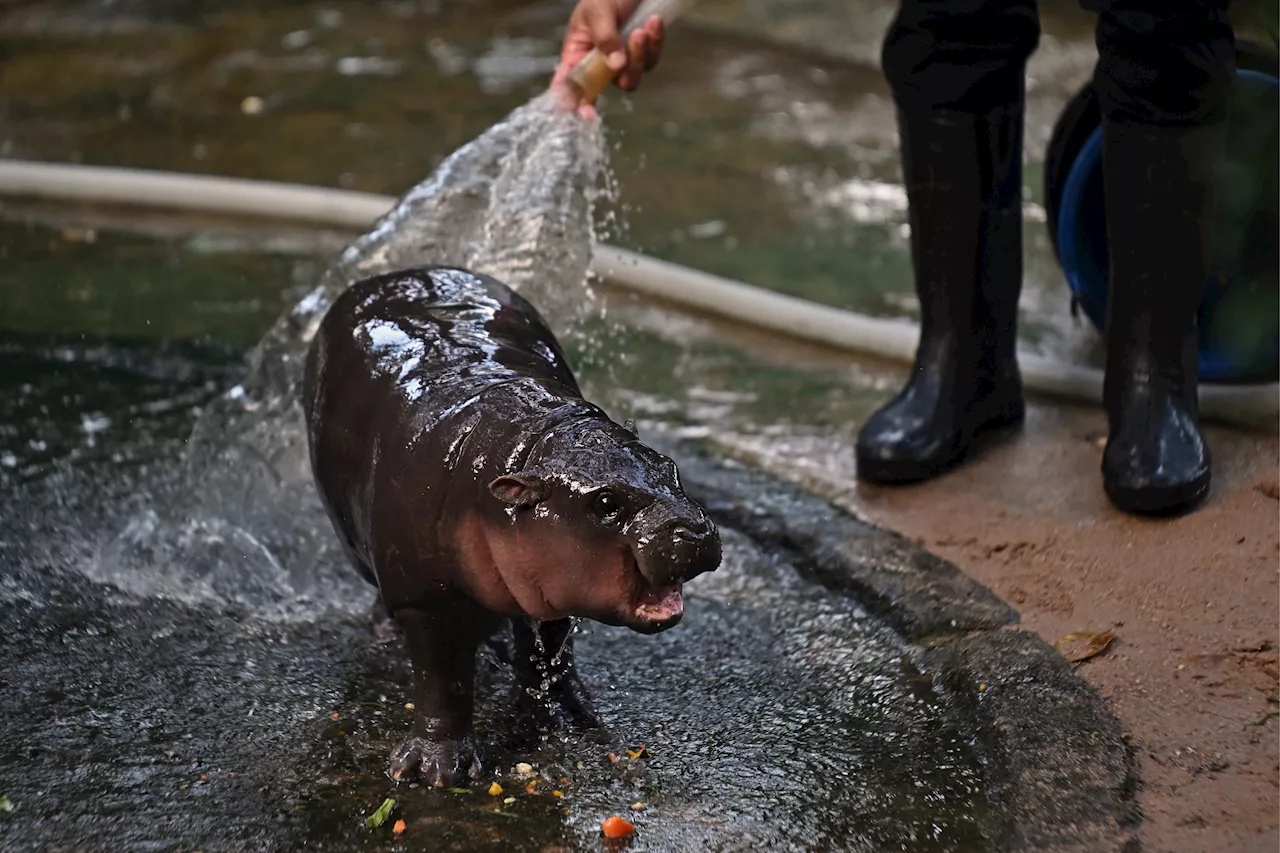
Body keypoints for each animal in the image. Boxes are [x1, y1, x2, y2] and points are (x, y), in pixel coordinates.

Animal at [300, 266, 721, 783]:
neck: (527, 444)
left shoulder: (553, 582)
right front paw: (437, 770)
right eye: (606, 502)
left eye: (670, 467)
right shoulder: (426, 598)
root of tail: (398, 273)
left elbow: (551, 652)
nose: (695, 530)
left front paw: (568, 721)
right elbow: (443, 679)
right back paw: (385, 632)